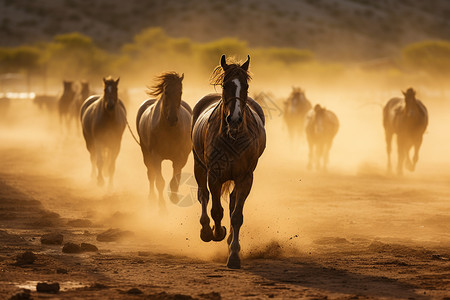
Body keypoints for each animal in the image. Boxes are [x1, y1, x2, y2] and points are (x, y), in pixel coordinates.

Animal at [135, 71, 192, 211]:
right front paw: (162, 207)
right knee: (151, 175)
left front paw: (174, 197)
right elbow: (159, 181)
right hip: (146, 153)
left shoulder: (180, 157)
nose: (172, 118)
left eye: (180, 92)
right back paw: (151, 198)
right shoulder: (156, 156)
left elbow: (175, 180)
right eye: (166, 92)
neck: (169, 130)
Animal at [191, 54, 266, 270]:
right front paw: (217, 232)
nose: (235, 119)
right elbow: (216, 210)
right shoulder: (214, 175)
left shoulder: (245, 178)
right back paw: (206, 231)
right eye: (225, 85)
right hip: (199, 167)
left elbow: (236, 215)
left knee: (232, 202)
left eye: (246, 86)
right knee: (203, 195)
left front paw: (234, 254)